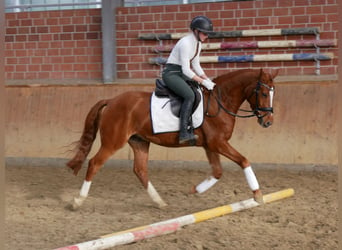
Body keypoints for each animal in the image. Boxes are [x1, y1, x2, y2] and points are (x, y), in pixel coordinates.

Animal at [67, 68, 278, 209]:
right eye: (264, 93)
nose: (268, 122)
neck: (220, 102)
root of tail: (111, 101)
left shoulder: (211, 145)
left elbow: (217, 172)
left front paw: (194, 190)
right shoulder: (218, 143)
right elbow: (244, 161)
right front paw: (258, 195)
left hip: (139, 141)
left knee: (140, 170)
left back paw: (159, 201)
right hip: (113, 142)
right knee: (95, 163)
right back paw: (78, 200)